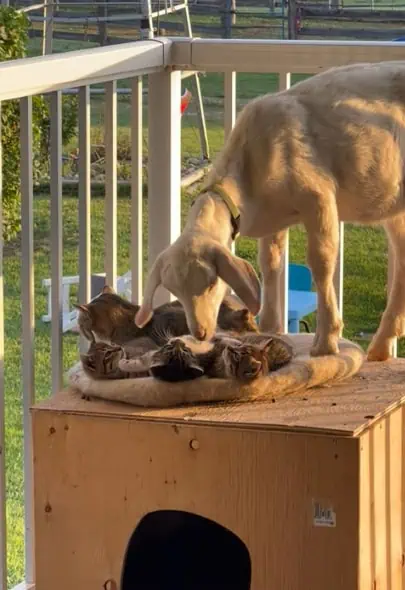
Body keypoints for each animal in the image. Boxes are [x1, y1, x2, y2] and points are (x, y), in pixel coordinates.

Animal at [138, 63, 405, 360]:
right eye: (174, 290)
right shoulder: (274, 217)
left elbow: (321, 262)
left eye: (211, 283)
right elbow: (270, 262)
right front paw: (270, 327)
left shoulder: (318, 197)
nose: (201, 333)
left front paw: (325, 342)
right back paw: (382, 344)